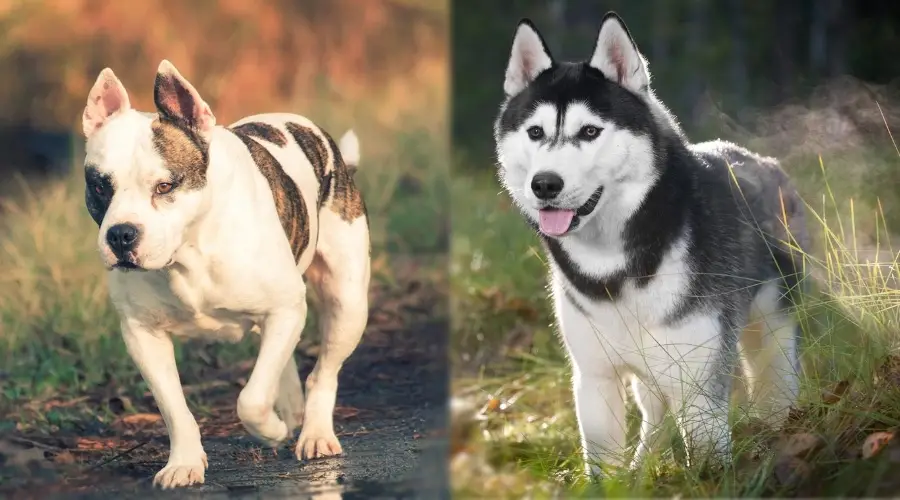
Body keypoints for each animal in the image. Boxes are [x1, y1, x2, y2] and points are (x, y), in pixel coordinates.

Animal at [80, 59, 370, 488]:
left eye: (164, 186)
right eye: (100, 187)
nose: (120, 234)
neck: (189, 251)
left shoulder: (284, 309)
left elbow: (250, 399)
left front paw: (270, 430)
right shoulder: (142, 334)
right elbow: (174, 408)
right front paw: (183, 462)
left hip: (346, 303)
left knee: (322, 373)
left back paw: (314, 433)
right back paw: (290, 410)